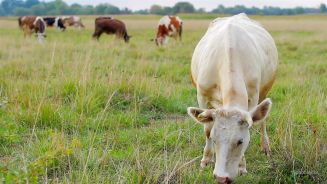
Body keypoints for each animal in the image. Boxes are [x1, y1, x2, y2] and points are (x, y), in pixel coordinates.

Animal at [188, 13, 278, 183]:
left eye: (240, 141)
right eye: (214, 139)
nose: (221, 178)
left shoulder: (253, 97)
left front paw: (242, 166)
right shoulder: (202, 96)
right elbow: (207, 129)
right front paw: (206, 160)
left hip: (264, 90)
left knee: (262, 122)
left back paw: (266, 147)